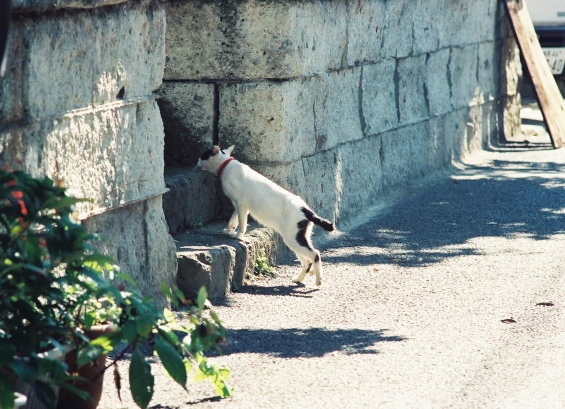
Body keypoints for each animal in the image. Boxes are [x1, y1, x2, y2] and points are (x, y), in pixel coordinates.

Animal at [196, 145, 332, 286]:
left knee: (315, 254)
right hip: (296, 239)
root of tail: (306, 209)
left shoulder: (241, 204)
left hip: (293, 238)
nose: (197, 160)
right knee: (307, 261)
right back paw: (298, 279)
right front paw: (228, 230)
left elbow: (242, 224)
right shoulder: (238, 205)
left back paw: (318, 281)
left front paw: (238, 236)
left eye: (202, 155)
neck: (226, 165)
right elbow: (233, 220)